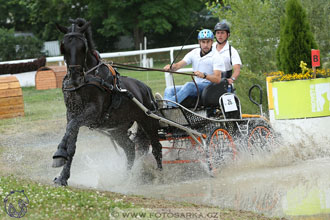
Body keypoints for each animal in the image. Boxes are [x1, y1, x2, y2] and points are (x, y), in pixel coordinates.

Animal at [52, 18, 163, 186]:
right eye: (63, 46)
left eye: (83, 47)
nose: (75, 77)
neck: (88, 79)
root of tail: (146, 89)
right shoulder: (71, 114)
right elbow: (71, 141)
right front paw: (62, 176)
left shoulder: (92, 112)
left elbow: (71, 128)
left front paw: (59, 154)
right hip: (117, 129)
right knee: (130, 149)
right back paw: (125, 178)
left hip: (148, 121)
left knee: (156, 147)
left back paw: (161, 176)